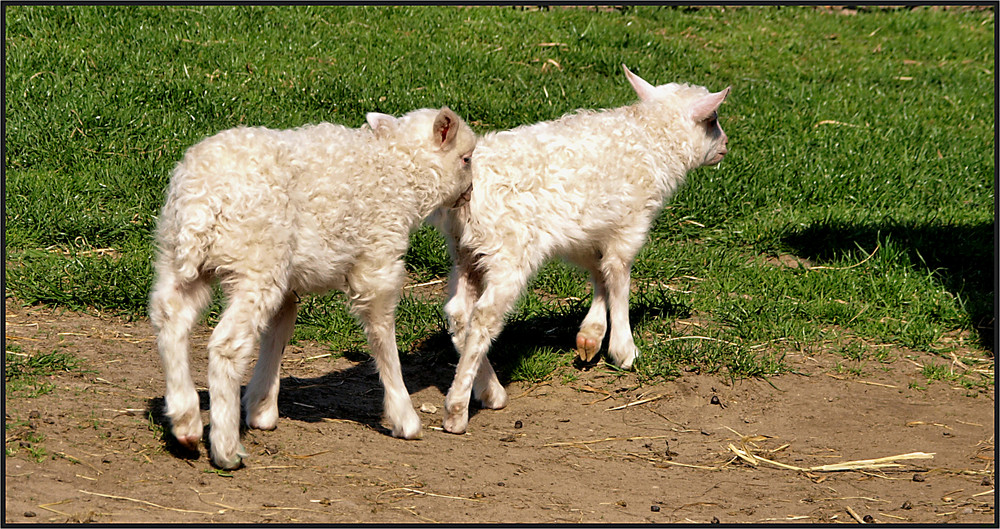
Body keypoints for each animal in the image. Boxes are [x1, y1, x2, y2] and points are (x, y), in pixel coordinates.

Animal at [147, 106, 476, 466]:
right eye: (466, 159)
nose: (470, 192)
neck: (398, 169)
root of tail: (202, 199)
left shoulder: (288, 278)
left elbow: (279, 329)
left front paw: (261, 407)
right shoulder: (378, 260)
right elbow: (381, 334)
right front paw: (404, 416)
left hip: (180, 255)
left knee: (170, 317)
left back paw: (185, 423)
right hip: (256, 260)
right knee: (226, 346)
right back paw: (225, 447)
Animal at [434, 65, 732, 434]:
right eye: (712, 119)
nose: (726, 144)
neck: (650, 138)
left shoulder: (584, 231)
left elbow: (599, 272)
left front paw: (591, 336)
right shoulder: (630, 225)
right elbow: (618, 276)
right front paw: (624, 349)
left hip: (465, 252)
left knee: (459, 312)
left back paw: (489, 390)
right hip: (508, 252)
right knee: (483, 317)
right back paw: (457, 410)